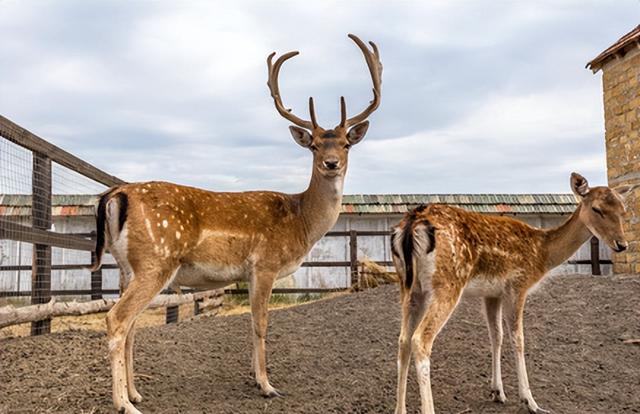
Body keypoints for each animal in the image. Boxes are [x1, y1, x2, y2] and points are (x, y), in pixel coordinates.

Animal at [92, 34, 382, 412]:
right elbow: (261, 322)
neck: (301, 222)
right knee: (117, 319)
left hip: (127, 266)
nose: (331, 163)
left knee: (131, 324)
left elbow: (251, 323)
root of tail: (115, 194)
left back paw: (137, 392)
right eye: (314, 146)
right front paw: (267, 385)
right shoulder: (265, 264)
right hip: (155, 261)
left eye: (347, 143)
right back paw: (125, 403)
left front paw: (254, 376)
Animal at [390, 172, 636, 414]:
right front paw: (531, 401)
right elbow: (518, 338)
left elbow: (496, 335)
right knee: (420, 340)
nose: (622, 245)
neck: (543, 254)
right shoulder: (518, 285)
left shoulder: (492, 293)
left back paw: (399, 409)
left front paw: (497, 392)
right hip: (447, 284)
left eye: (623, 210)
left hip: (409, 287)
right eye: (596, 209)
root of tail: (411, 224)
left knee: (403, 340)